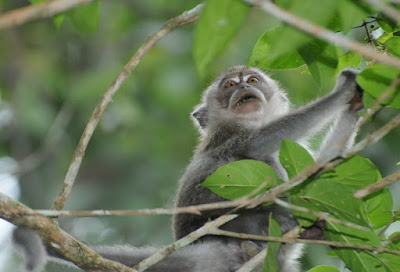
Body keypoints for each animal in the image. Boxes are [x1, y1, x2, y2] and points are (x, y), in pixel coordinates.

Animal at [13, 66, 362, 272]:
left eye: (252, 81)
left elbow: (325, 168)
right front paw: (343, 92)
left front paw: (354, 108)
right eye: (230, 85)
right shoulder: (229, 136)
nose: (242, 90)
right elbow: (256, 146)